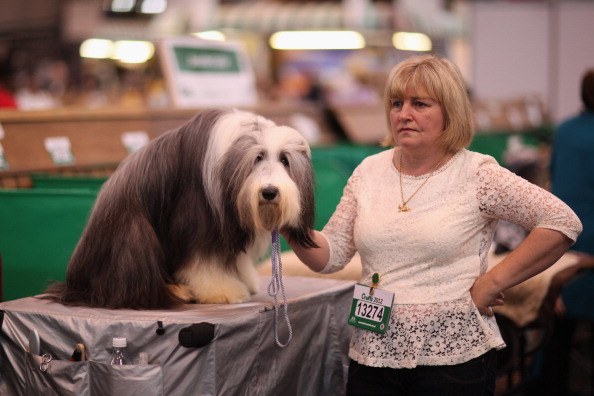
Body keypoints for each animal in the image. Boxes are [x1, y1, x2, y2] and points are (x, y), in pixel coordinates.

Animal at [45, 108, 316, 310]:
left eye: (284, 160)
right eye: (257, 158)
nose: (269, 192)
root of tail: (76, 283)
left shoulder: (231, 225)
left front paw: (246, 280)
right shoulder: (198, 218)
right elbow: (204, 261)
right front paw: (222, 291)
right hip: (133, 233)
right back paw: (177, 291)